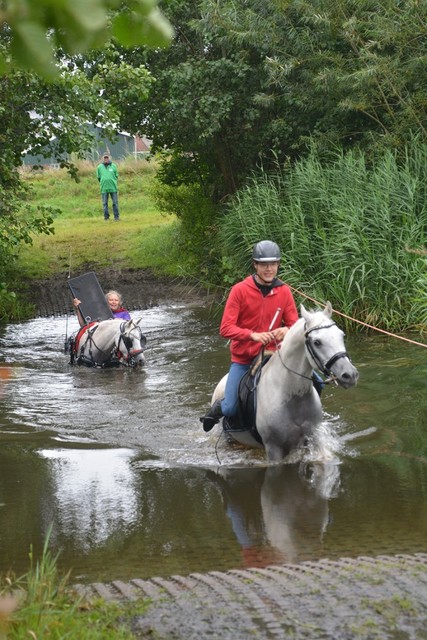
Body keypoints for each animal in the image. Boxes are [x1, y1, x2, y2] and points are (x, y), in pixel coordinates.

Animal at [212, 302, 360, 462]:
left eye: (342, 335)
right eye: (317, 342)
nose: (350, 375)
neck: (292, 396)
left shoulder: (314, 437)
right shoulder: (273, 449)